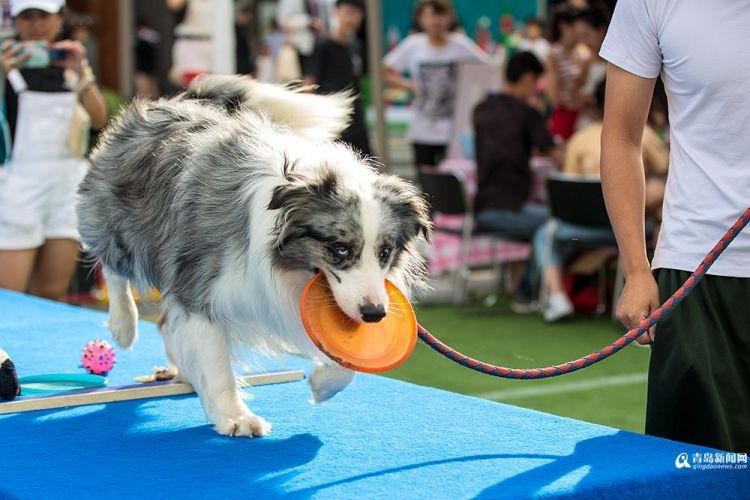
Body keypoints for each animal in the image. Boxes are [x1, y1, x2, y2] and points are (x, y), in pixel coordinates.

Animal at [77, 75, 432, 438]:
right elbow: (216, 363)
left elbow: (346, 360)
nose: (375, 314)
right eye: (340, 249)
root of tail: (181, 100)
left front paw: (323, 384)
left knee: (166, 324)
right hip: (120, 225)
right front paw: (235, 417)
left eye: (385, 252)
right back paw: (124, 324)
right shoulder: (200, 286)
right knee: (113, 265)